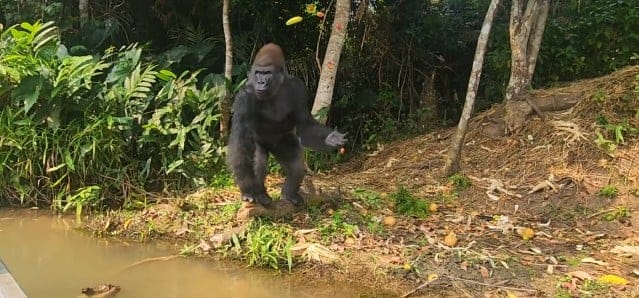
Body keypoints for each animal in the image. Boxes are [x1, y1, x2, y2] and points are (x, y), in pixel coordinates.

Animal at [225, 43, 344, 207]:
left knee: (296, 164)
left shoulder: (298, 88)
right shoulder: (244, 96)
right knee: (257, 160)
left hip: (282, 143)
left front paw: (330, 139)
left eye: (267, 73)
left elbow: (305, 125)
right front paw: (248, 190)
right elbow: (240, 141)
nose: (261, 82)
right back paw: (261, 195)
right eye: (258, 73)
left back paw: (289, 194)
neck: (276, 86)